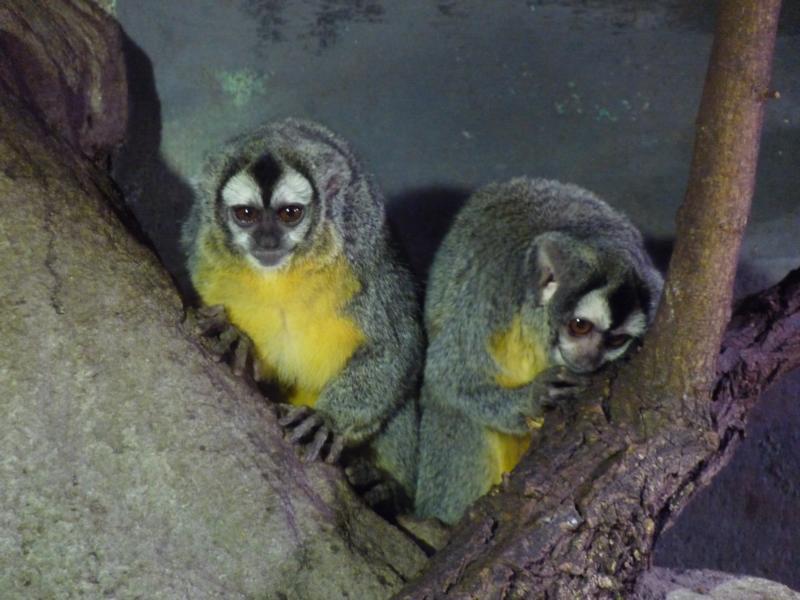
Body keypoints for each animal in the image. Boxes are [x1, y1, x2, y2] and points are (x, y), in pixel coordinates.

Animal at [181, 118, 423, 508]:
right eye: (246, 214)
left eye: (289, 213)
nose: (267, 240)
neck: (283, 274)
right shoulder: (203, 259)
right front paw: (235, 337)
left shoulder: (366, 264)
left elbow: (399, 349)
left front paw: (326, 420)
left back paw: (383, 486)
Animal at [414, 177, 663, 524]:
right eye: (579, 326)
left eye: (617, 341)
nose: (589, 359)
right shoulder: (489, 303)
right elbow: (446, 377)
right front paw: (533, 399)